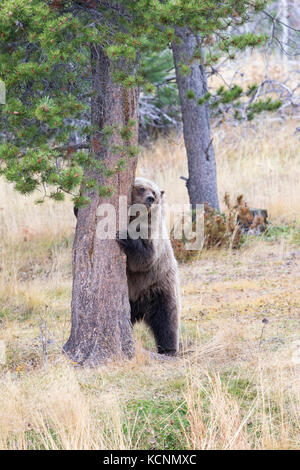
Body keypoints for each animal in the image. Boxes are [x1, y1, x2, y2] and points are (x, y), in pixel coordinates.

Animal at [117, 177, 180, 356]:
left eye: (155, 192)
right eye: (141, 188)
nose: (150, 199)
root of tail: (140, 310)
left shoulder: (152, 235)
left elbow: (144, 258)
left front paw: (125, 236)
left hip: (159, 289)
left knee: (167, 321)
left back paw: (168, 349)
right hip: (132, 299)